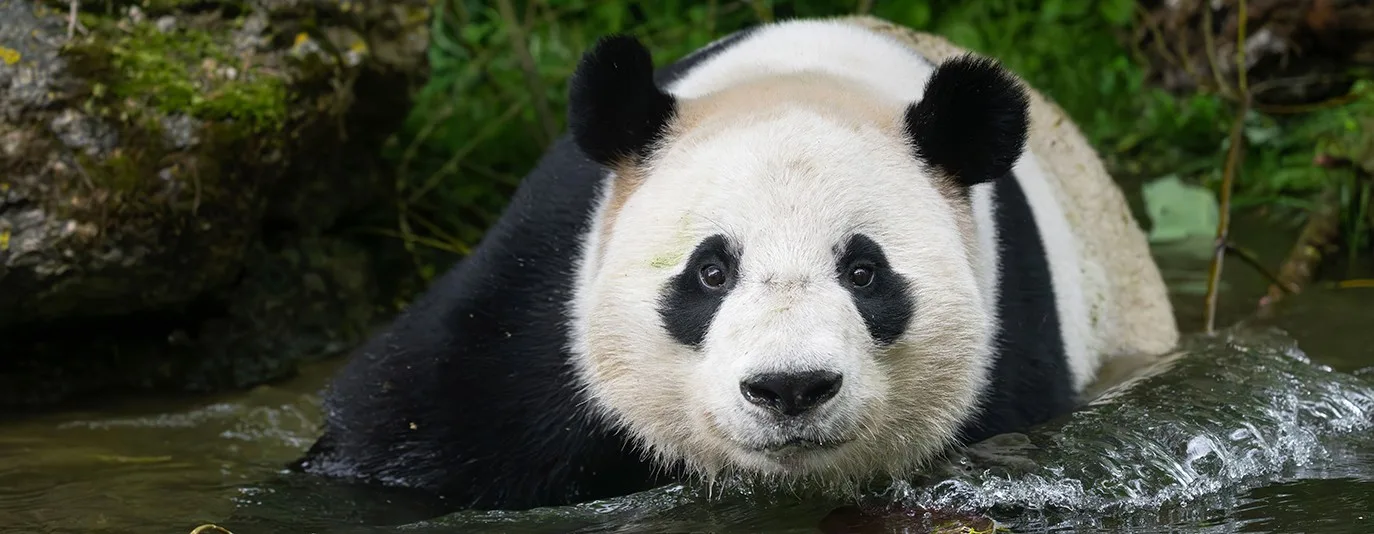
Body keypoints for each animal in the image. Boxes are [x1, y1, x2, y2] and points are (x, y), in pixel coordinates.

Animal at [291, 15, 1179, 513]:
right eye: (711, 272)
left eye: (864, 273)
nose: (791, 389)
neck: (807, 81)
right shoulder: (534, 305)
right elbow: (415, 428)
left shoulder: (1010, 355)